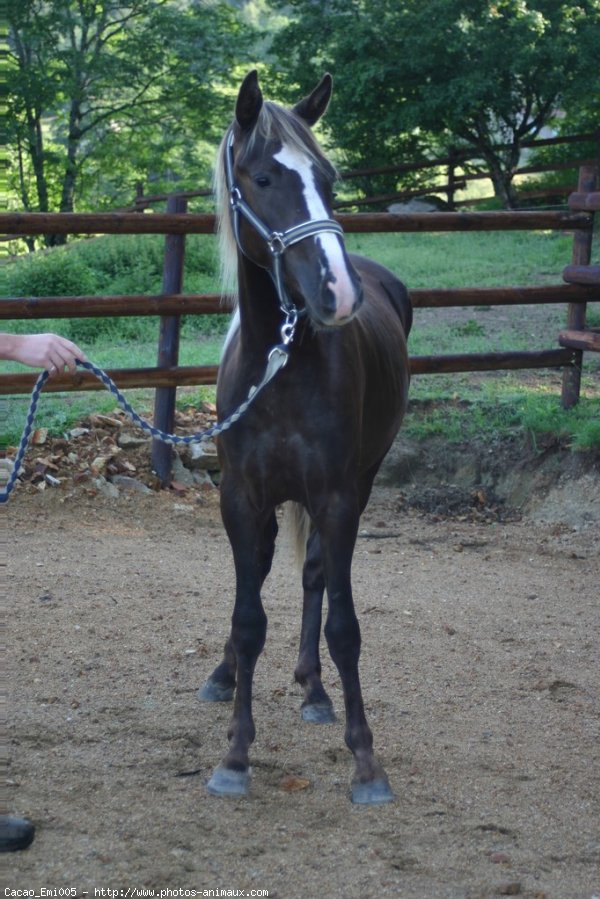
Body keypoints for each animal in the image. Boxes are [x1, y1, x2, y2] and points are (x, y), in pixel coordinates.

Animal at [198, 67, 412, 804]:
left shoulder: (339, 496)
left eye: (329, 176)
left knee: (316, 574)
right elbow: (247, 617)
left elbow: (344, 623)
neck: (282, 361)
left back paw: (315, 690)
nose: (337, 292)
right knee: (264, 573)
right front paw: (235, 754)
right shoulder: (239, 497)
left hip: (356, 483)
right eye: (263, 176)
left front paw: (366, 760)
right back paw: (224, 675)